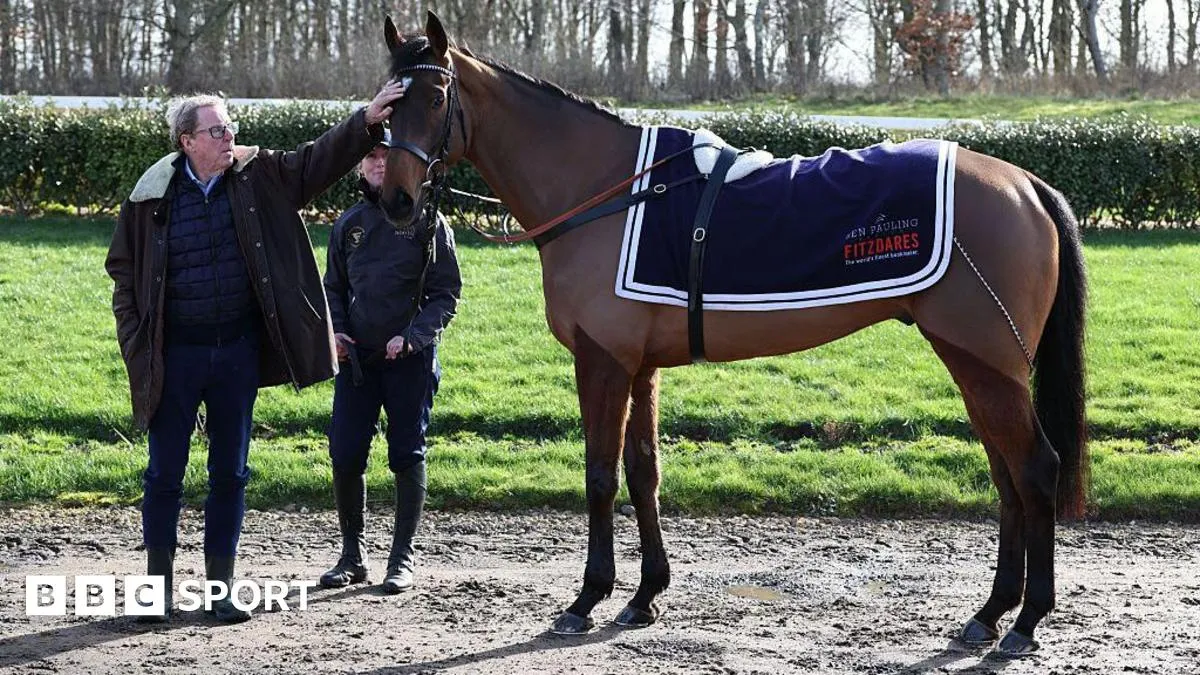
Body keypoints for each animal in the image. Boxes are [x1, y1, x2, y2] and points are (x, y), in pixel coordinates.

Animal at [378, 12, 1088, 657]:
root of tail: (1025, 183)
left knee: (1035, 469)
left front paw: (587, 599)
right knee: (1006, 477)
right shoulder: (640, 366)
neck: (610, 193)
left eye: (434, 97)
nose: (396, 201)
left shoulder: (603, 361)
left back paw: (1025, 622)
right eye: (386, 101)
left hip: (988, 364)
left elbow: (601, 475)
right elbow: (644, 471)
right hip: (975, 364)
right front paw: (645, 596)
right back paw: (990, 613)